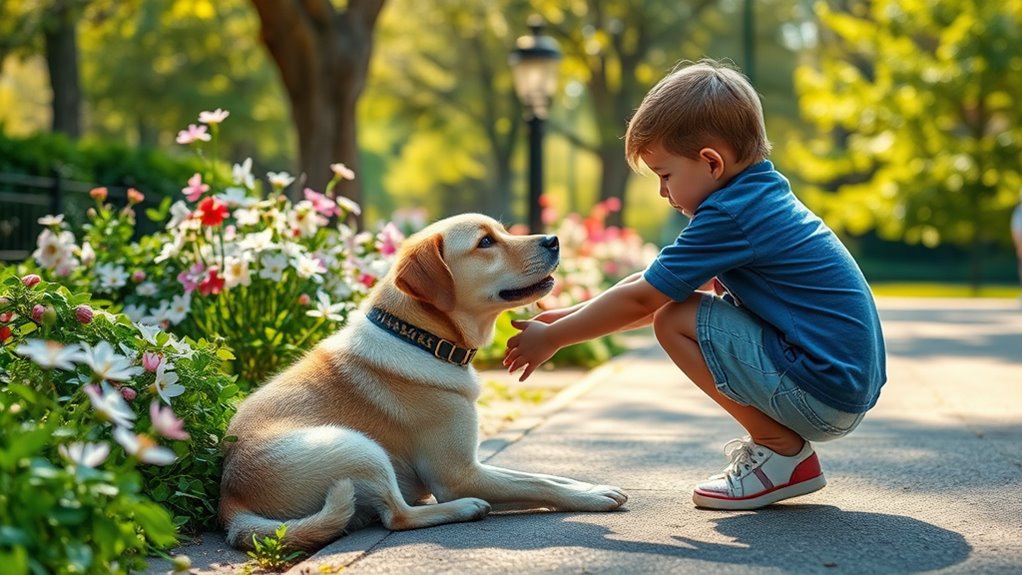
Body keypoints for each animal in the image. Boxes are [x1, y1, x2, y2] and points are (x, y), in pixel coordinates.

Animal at [219, 213, 625, 551]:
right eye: (486, 242)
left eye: (503, 231)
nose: (554, 240)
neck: (421, 338)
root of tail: (229, 503)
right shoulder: (459, 475)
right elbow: (539, 483)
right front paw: (591, 498)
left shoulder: (475, 466)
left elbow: (544, 476)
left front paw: (589, 486)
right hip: (356, 447)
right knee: (397, 517)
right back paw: (465, 509)